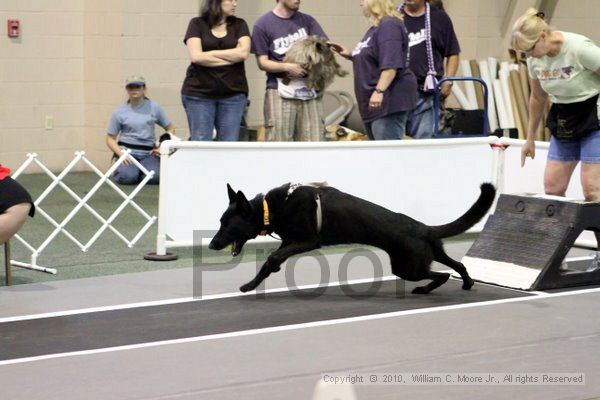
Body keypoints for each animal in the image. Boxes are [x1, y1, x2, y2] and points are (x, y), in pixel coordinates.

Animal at [209, 182, 494, 294]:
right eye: (220, 222)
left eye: (227, 225)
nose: (211, 245)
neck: (272, 208)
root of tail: (424, 228)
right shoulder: (290, 241)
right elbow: (272, 260)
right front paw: (253, 283)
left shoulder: (308, 241)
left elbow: (273, 256)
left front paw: (252, 282)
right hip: (432, 253)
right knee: (458, 265)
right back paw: (467, 283)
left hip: (406, 267)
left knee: (443, 275)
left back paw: (425, 289)